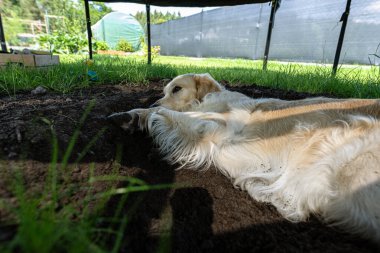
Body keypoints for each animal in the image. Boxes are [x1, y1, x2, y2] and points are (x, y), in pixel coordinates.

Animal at [108, 73, 380, 243]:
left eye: (177, 88)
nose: (156, 100)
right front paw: (135, 116)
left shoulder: (219, 126)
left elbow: (173, 114)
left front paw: (136, 115)